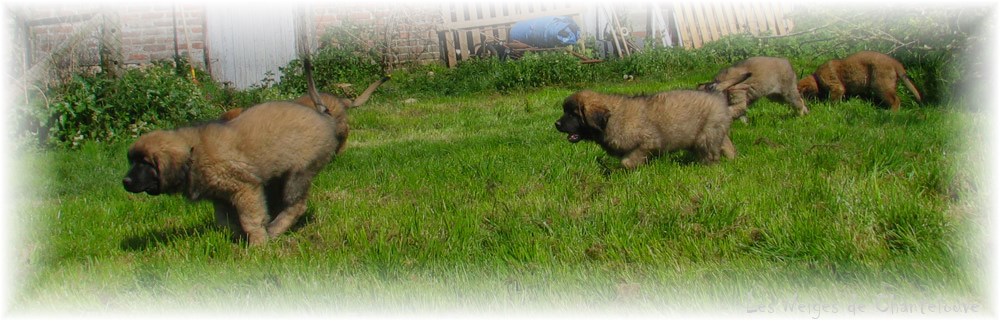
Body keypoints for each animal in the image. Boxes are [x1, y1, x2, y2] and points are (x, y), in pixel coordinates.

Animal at [120, 100, 340, 245]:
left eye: (146, 163)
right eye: (132, 161)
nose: (125, 181)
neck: (193, 156)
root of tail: (325, 118)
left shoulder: (245, 188)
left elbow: (250, 219)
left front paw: (258, 245)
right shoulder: (220, 196)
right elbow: (225, 222)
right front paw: (238, 239)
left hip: (297, 173)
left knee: (296, 205)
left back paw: (274, 230)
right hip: (277, 179)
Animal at [556, 87, 736, 168]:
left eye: (573, 114)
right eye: (565, 111)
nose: (556, 124)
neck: (611, 119)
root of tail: (719, 98)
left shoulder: (647, 142)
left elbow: (627, 161)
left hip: (707, 135)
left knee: (710, 154)